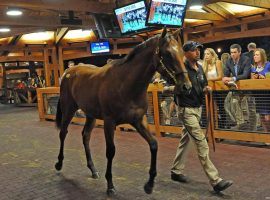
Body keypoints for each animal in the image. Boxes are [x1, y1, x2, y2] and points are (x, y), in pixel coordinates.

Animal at [53, 28, 191, 195]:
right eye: (168, 54)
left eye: (182, 53)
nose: (186, 86)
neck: (126, 84)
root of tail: (68, 72)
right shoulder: (109, 122)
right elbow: (111, 151)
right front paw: (110, 185)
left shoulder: (139, 121)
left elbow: (153, 144)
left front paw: (149, 184)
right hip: (69, 109)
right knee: (63, 133)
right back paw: (59, 163)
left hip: (91, 115)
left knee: (85, 136)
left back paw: (93, 169)